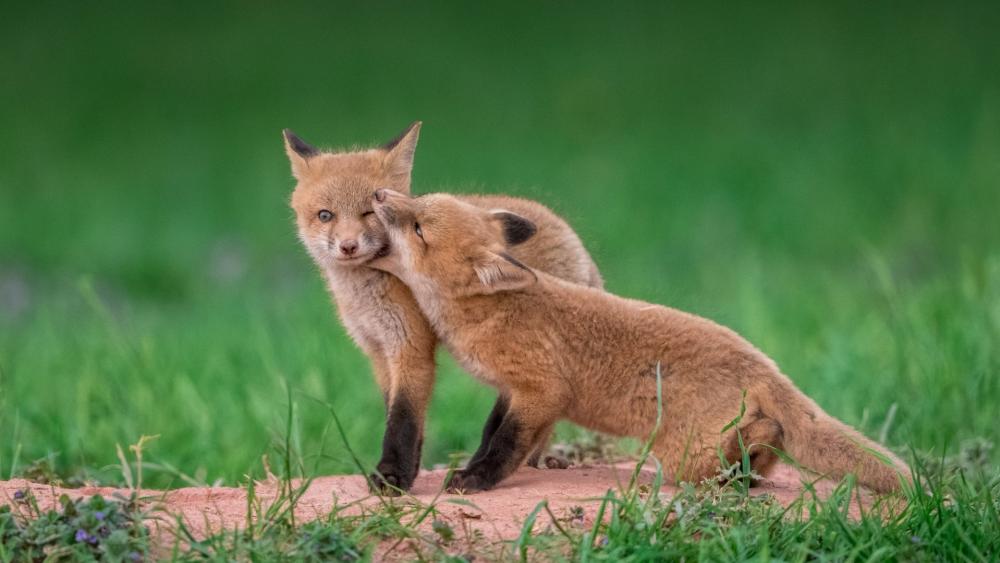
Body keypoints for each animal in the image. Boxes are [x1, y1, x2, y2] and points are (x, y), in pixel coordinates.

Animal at [283, 122, 603, 492]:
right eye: (325, 215)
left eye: (368, 212)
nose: (348, 246)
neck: (366, 298)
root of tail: (573, 239)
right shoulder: (379, 351)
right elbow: (398, 413)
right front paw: (409, 469)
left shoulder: (411, 346)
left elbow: (403, 418)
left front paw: (392, 476)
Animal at [367, 188, 913, 494]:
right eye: (417, 205)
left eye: (417, 226)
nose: (378, 194)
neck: (489, 313)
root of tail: (764, 362)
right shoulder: (512, 390)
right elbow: (490, 433)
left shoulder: (540, 391)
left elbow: (504, 446)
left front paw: (476, 480)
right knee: (762, 452)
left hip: (685, 456)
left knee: (756, 446)